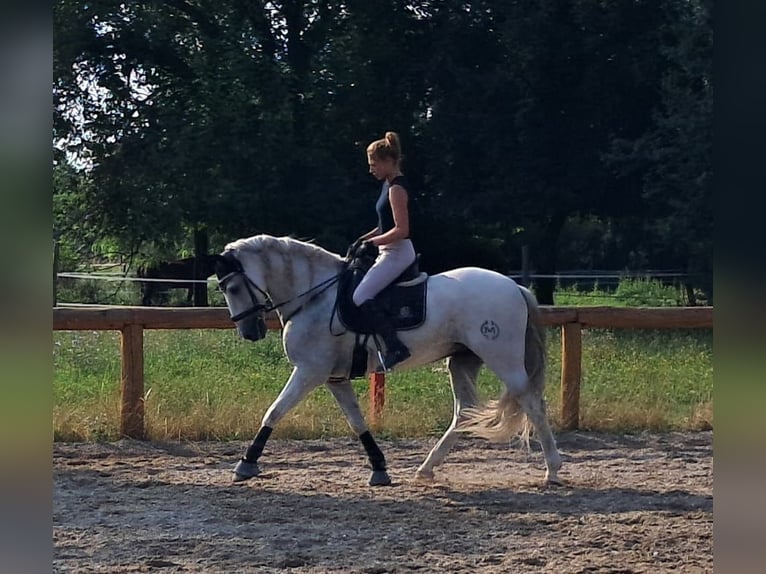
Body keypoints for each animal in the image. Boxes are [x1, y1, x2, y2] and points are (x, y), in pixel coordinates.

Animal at [216, 236, 564, 488]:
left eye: (232, 287)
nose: (249, 332)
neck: (314, 297)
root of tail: (515, 286)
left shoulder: (309, 372)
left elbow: (275, 411)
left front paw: (246, 464)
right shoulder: (335, 378)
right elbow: (357, 421)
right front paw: (379, 469)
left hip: (502, 358)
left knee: (533, 404)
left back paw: (553, 470)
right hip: (462, 361)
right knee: (463, 412)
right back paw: (426, 469)